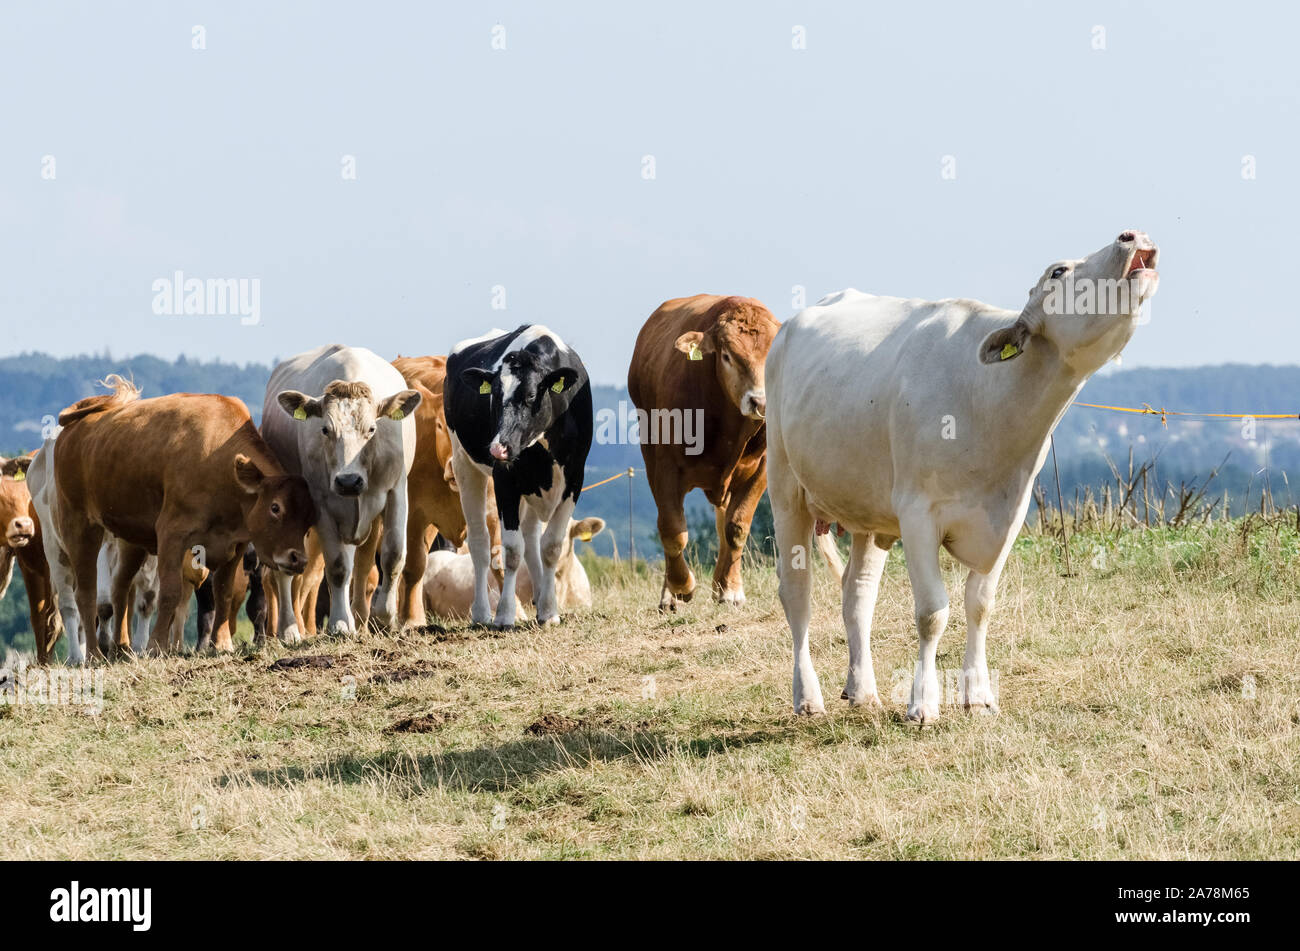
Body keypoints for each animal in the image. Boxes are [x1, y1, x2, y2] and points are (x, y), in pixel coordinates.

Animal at [52, 376, 317, 658]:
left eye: (309, 518)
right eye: (275, 507)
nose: (298, 559)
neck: (217, 458)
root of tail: (76, 425)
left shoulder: (237, 543)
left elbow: (223, 591)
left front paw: (221, 643)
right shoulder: (172, 534)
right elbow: (170, 592)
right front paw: (156, 645)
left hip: (131, 538)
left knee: (119, 586)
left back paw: (121, 647)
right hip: (79, 525)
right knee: (86, 594)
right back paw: (93, 653)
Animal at [261, 345, 422, 640]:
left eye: (372, 429)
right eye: (325, 429)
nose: (348, 481)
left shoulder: (397, 490)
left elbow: (393, 555)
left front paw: (385, 616)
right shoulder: (322, 504)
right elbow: (336, 567)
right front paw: (339, 623)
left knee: (359, 563)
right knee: (285, 571)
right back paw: (289, 629)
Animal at [445, 325, 593, 628]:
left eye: (531, 396)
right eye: (494, 397)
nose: (498, 447)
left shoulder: (575, 477)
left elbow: (550, 546)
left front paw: (549, 611)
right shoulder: (505, 480)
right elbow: (512, 551)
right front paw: (504, 614)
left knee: (532, 541)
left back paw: (539, 599)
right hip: (464, 465)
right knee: (480, 543)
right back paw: (481, 613)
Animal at [628, 294, 842, 611]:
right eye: (728, 356)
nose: (761, 402)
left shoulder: (763, 468)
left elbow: (735, 527)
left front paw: (728, 590)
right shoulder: (664, 465)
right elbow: (673, 530)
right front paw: (680, 587)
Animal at [765, 230, 1159, 720]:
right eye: (1058, 271)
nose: (1132, 234)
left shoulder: (1010, 515)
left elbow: (980, 605)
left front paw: (978, 694)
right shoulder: (918, 513)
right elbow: (932, 612)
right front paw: (923, 703)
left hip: (868, 510)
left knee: (857, 594)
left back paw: (863, 690)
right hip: (785, 487)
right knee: (796, 593)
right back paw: (808, 696)